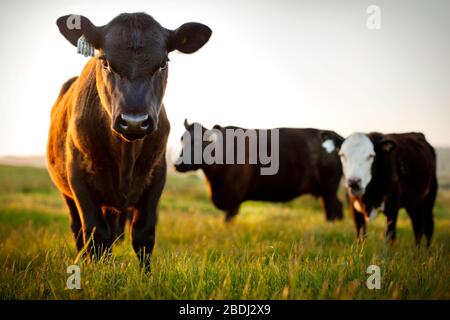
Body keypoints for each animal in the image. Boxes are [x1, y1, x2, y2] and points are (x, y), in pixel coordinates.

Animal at [46, 13, 212, 272]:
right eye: (105, 61)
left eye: (163, 63)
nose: (134, 122)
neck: (126, 155)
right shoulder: (78, 177)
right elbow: (96, 233)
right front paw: (99, 273)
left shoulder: (157, 176)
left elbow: (143, 235)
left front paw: (146, 276)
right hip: (67, 192)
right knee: (79, 230)